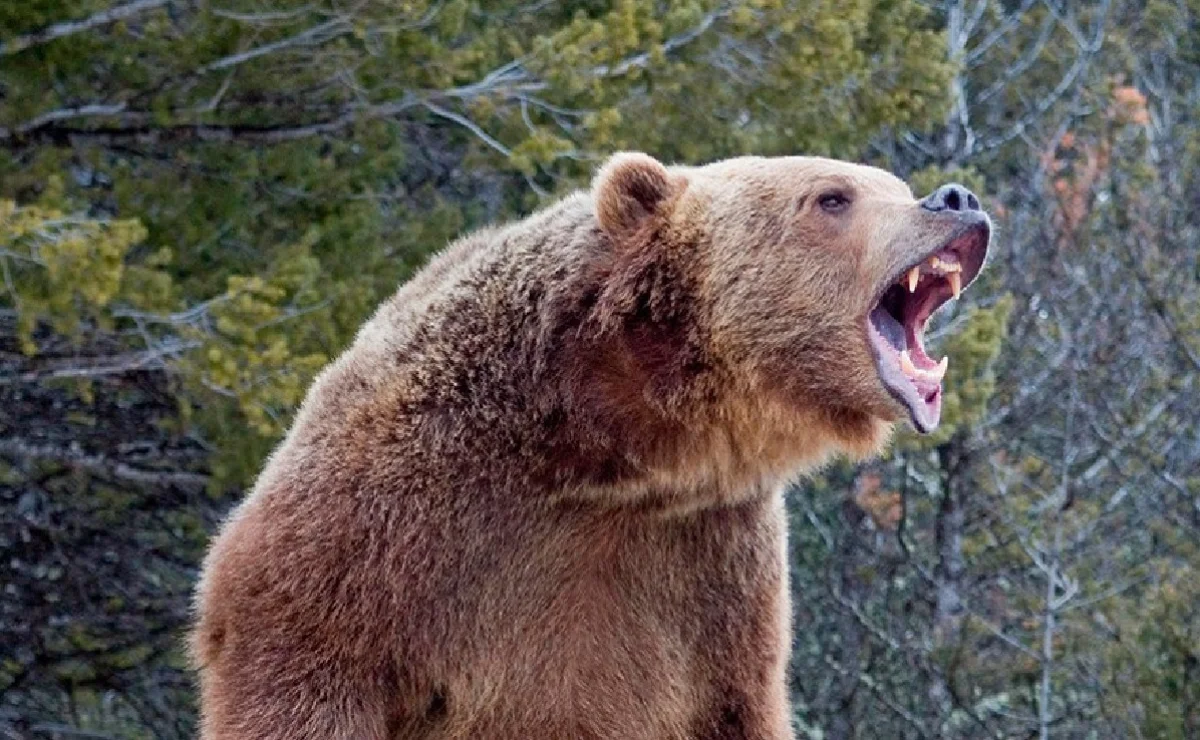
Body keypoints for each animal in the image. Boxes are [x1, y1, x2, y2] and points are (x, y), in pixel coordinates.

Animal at [189, 152, 993, 734]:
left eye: (895, 182)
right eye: (832, 196)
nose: (956, 197)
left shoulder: (704, 577)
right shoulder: (391, 521)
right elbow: (302, 664)